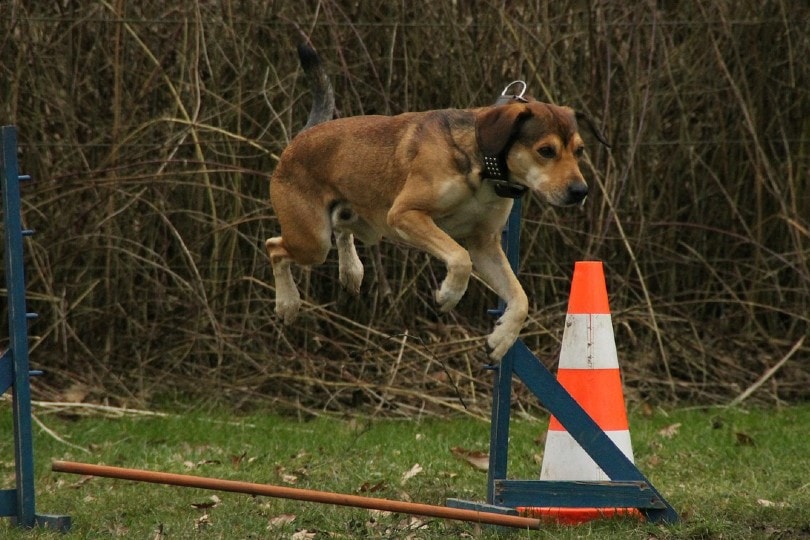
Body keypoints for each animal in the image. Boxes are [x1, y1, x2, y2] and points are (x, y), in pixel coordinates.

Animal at [266, 51, 600, 358]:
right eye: (546, 151)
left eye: (580, 150)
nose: (580, 191)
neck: (482, 164)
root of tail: (298, 140)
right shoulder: (406, 214)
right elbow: (460, 258)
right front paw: (449, 294)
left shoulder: (485, 244)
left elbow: (520, 298)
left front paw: (501, 339)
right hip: (312, 240)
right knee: (275, 247)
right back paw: (288, 303)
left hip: (356, 222)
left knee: (341, 227)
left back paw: (351, 271)